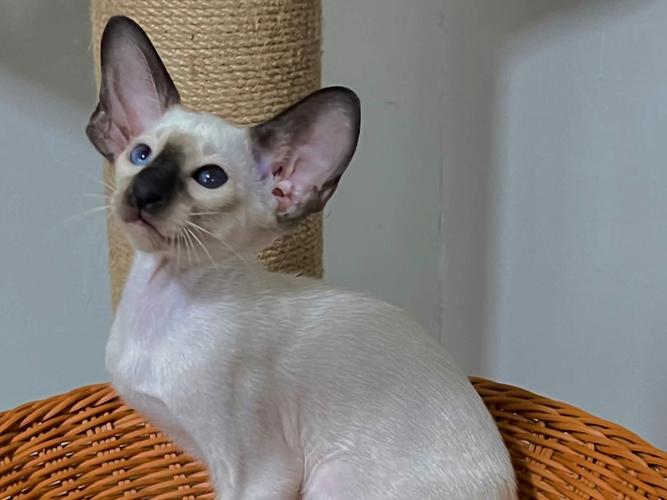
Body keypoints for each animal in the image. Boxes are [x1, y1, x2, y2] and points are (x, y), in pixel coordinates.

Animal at [86, 15, 516, 500]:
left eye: (210, 178)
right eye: (141, 155)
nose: (144, 194)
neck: (161, 301)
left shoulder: (260, 473)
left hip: (329, 481)